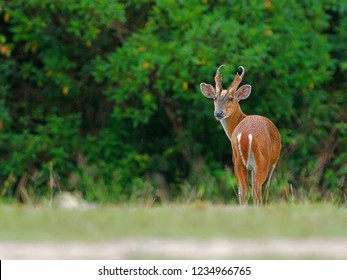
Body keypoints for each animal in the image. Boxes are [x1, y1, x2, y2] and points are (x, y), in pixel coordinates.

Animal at [200, 65, 282, 206]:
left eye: (230, 98)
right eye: (215, 98)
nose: (218, 113)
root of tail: (245, 134)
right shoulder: (273, 163)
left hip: (237, 159)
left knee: (243, 190)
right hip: (262, 160)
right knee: (256, 188)